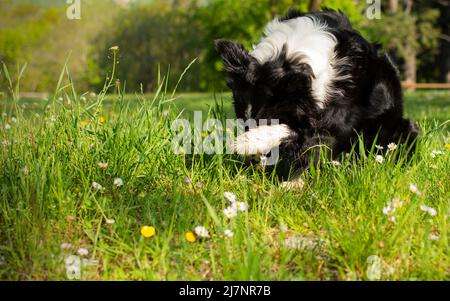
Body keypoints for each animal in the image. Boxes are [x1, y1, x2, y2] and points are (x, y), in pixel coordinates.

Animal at [214, 8, 418, 179]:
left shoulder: (337, 124)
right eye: (242, 117)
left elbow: (300, 133)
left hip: (404, 128)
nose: (252, 161)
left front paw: (247, 143)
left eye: (268, 119)